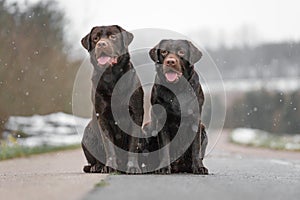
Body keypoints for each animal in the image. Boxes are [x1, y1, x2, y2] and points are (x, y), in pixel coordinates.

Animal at [81, 25, 144, 173]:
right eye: (95, 38)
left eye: (113, 36)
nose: (101, 44)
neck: (112, 78)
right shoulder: (102, 117)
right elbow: (109, 146)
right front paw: (110, 166)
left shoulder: (136, 115)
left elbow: (133, 144)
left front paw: (133, 167)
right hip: (86, 137)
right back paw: (97, 166)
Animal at [148, 39, 209, 173]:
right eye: (164, 52)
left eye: (181, 52)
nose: (170, 61)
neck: (177, 88)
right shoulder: (161, 120)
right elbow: (164, 148)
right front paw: (163, 168)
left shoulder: (195, 120)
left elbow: (196, 147)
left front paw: (199, 167)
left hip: (203, 128)